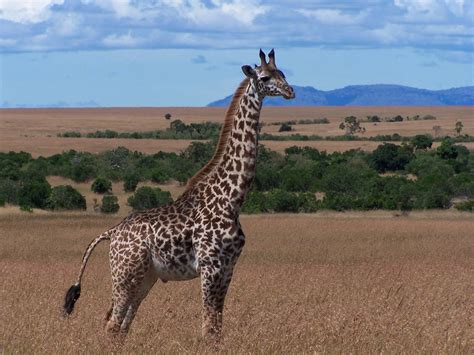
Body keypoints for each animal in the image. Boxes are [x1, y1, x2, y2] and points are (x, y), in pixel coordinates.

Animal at [63, 48, 292, 340]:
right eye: (264, 77)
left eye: (283, 74)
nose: (290, 91)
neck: (231, 198)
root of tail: (111, 233)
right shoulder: (211, 266)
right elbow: (208, 329)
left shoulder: (228, 267)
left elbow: (217, 327)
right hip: (125, 274)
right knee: (113, 323)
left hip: (144, 277)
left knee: (120, 324)